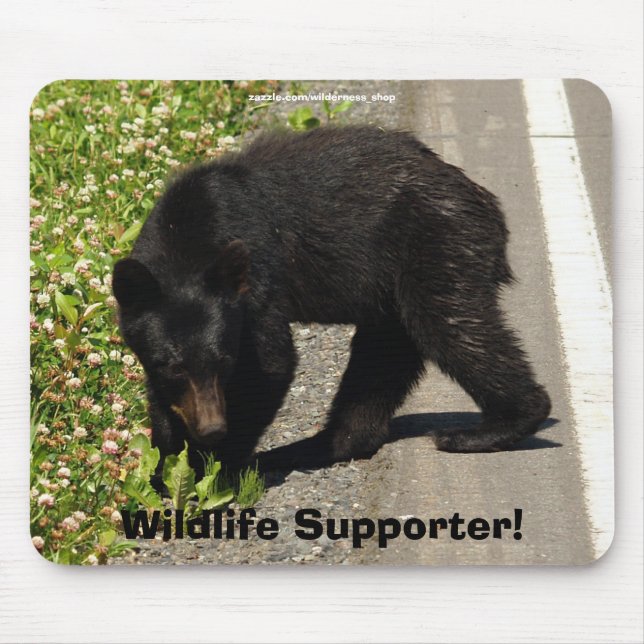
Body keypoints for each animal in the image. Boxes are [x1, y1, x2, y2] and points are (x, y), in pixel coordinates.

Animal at [112, 125, 551, 473]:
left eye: (225, 360)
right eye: (173, 366)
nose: (212, 427)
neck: (186, 235)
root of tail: (487, 203)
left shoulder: (258, 283)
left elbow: (271, 364)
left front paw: (216, 468)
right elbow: (161, 396)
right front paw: (166, 467)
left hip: (439, 244)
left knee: (455, 328)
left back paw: (490, 427)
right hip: (393, 289)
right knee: (382, 359)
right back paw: (321, 445)